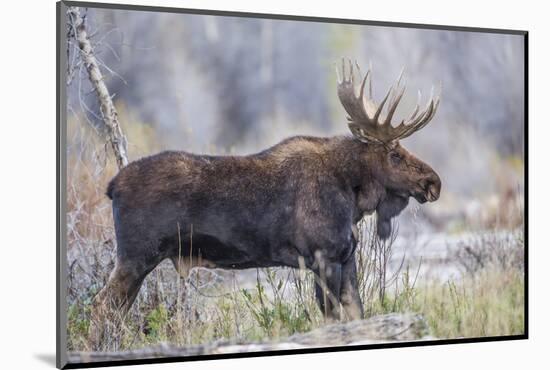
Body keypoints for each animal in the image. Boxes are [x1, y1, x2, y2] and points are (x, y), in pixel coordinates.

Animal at [90, 59, 444, 346]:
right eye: (395, 155)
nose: (434, 182)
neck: (353, 196)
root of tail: (112, 186)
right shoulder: (324, 257)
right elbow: (333, 320)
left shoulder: (346, 258)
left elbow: (358, 314)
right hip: (136, 256)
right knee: (101, 307)